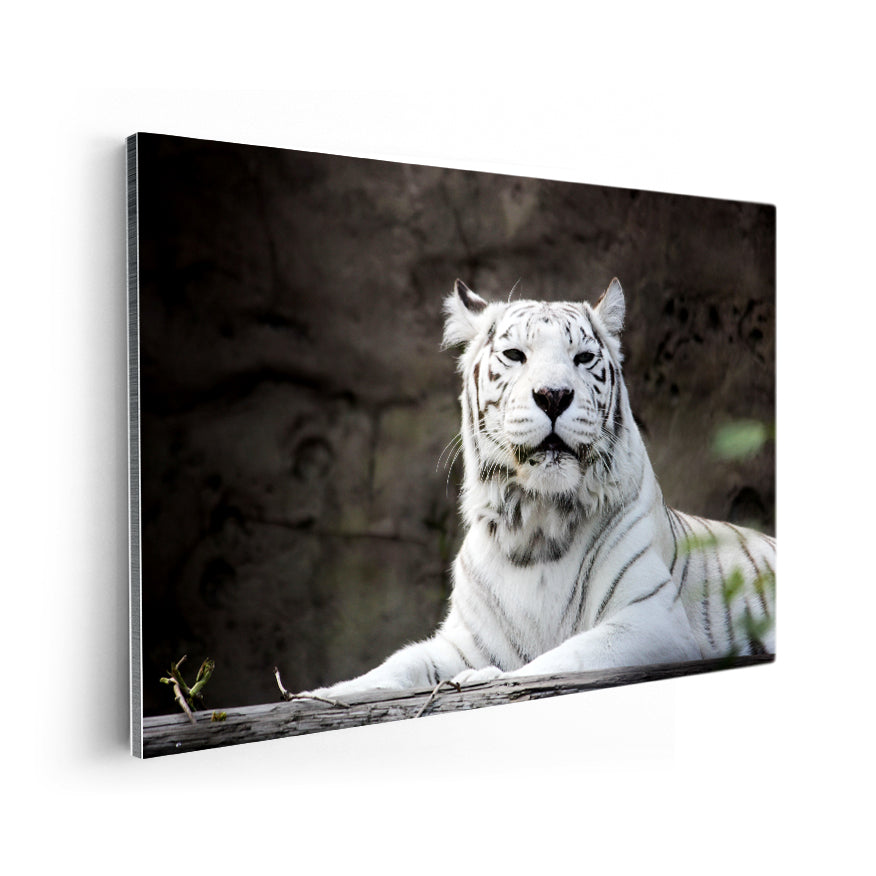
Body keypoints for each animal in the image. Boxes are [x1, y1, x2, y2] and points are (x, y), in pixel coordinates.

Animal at [298, 277, 775, 700]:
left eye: (583, 358)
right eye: (515, 355)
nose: (553, 395)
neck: (535, 523)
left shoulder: (651, 620)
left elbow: (558, 660)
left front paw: (479, 679)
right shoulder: (466, 639)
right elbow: (399, 663)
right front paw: (319, 694)